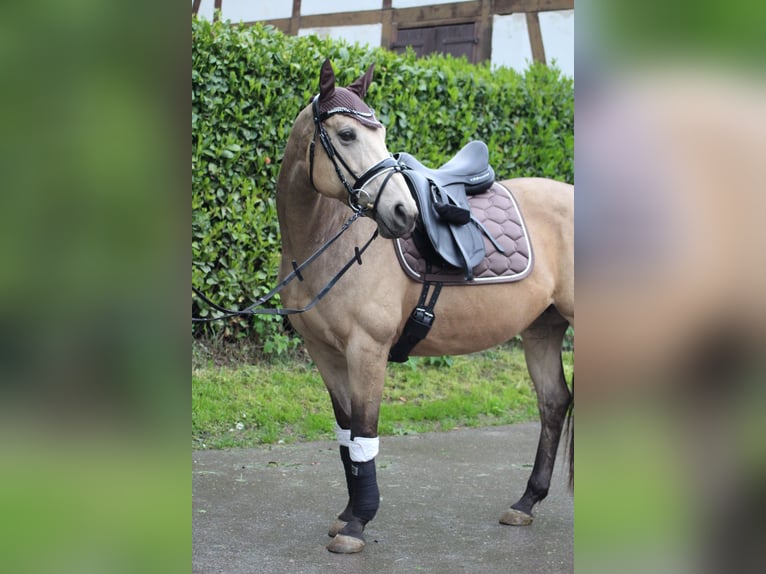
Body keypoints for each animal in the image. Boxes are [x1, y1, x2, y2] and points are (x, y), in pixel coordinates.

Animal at [276, 59, 574, 554]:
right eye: (346, 134)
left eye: (379, 131)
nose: (404, 213)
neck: (326, 240)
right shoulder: (326, 354)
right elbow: (346, 434)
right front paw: (347, 515)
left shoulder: (368, 350)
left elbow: (365, 432)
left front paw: (358, 523)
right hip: (542, 329)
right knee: (554, 404)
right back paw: (526, 502)